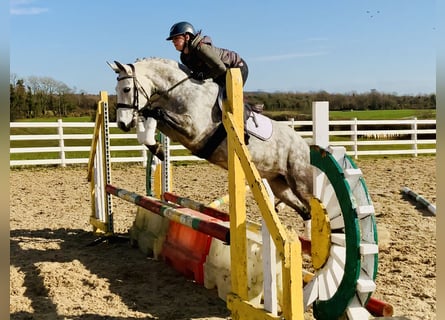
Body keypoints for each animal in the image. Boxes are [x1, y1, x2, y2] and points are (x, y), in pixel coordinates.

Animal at [108, 56, 312, 224]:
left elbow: (157, 112)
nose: (122, 123)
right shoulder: (175, 131)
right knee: (305, 211)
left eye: (126, 89)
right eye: (116, 89)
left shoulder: (193, 130)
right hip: (279, 184)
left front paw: (157, 148)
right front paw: (158, 150)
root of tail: (304, 145)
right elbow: (149, 124)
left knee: (314, 206)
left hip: (300, 182)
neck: (179, 92)